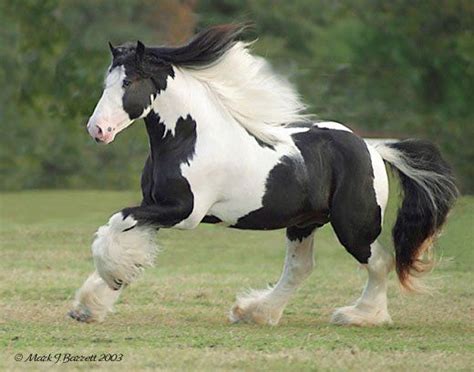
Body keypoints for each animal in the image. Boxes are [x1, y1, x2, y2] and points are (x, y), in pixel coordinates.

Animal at [68, 24, 458, 326]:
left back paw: (360, 316)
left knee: (379, 262)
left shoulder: (183, 212)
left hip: (354, 226)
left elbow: (118, 223)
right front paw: (92, 304)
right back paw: (254, 313)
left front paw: (105, 284)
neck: (190, 137)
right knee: (300, 269)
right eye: (107, 83)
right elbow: (129, 240)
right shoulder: (155, 206)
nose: (98, 130)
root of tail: (373, 148)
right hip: (304, 223)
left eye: (130, 82)